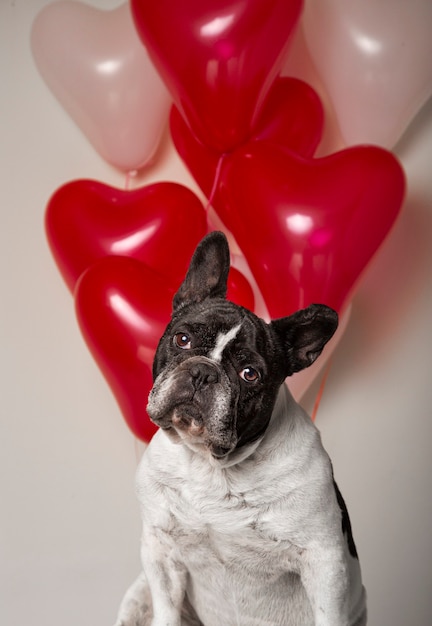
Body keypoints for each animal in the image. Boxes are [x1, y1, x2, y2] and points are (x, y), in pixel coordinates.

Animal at [113, 230, 366, 624]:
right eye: (182, 339)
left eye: (250, 374)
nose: (202, 373)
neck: (212, 467)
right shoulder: (159, 548)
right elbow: (166, 608)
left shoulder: (324, 561)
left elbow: (328, 610)